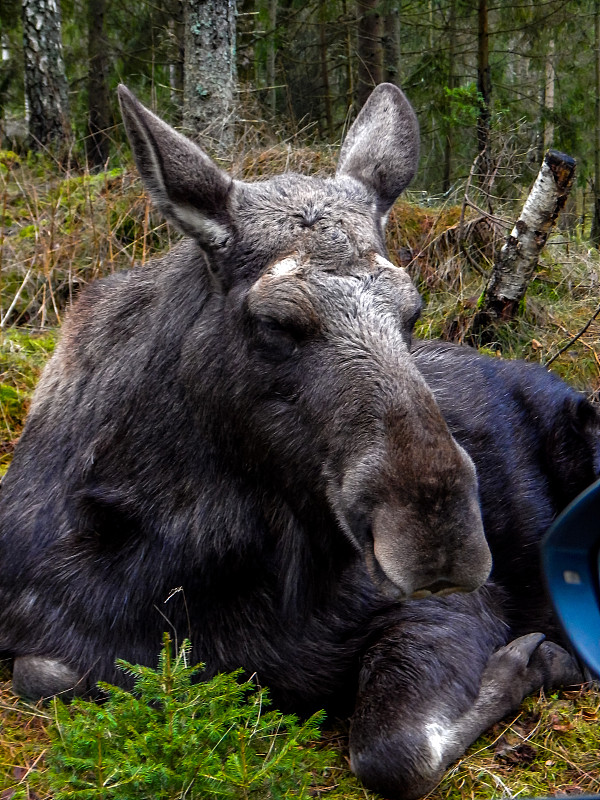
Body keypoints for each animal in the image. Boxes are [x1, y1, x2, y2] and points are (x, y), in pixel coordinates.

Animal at [0, 83, 596, 800]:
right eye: (277, 322)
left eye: (413, 312)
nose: (442, 539)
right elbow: (47, 673)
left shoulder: (456, 606)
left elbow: (395, 750)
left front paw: (542, 662)